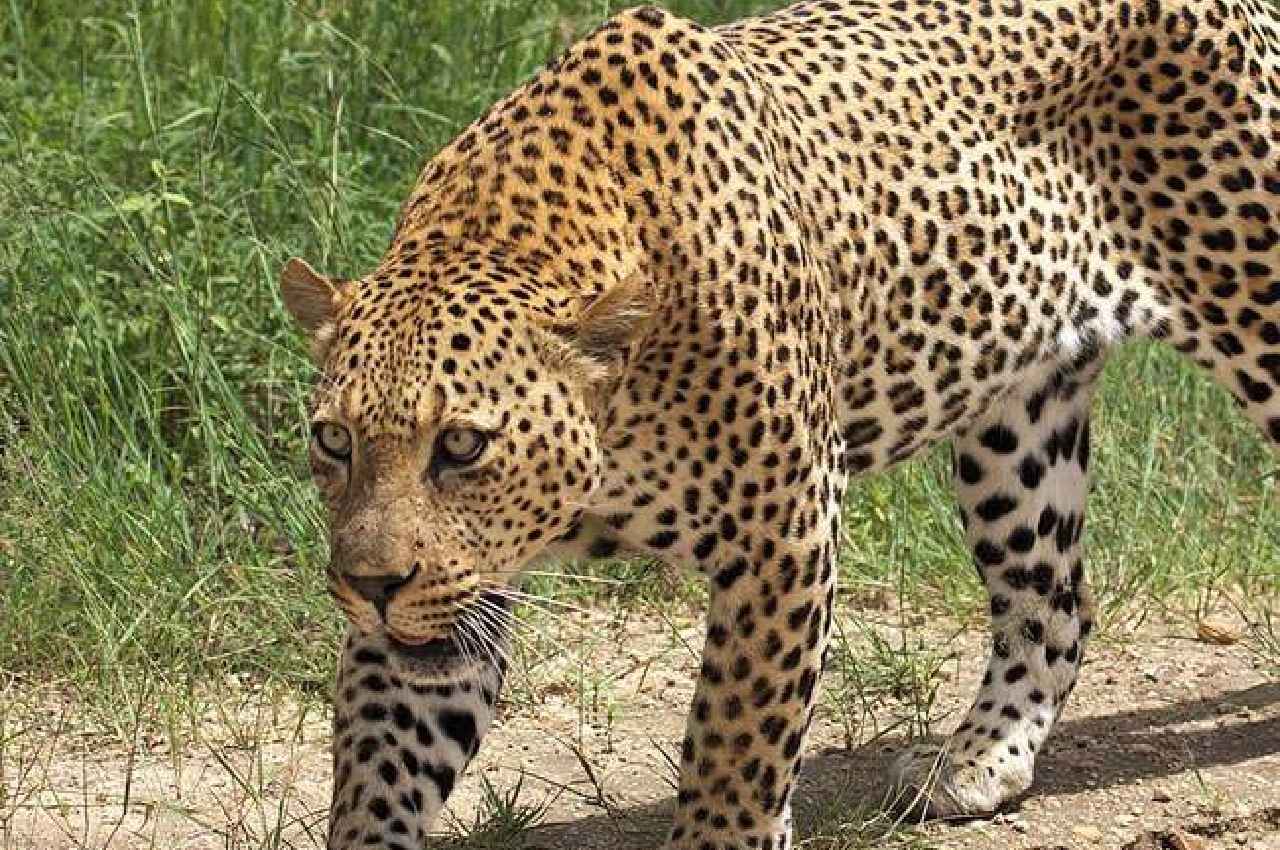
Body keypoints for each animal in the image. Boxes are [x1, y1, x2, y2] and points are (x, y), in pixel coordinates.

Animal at [277, 0, 1280, 847]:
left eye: (462, 445)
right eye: (335, 441)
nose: (368, 586)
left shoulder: (783, 531)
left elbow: (739, 742)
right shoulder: (452, 594)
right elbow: (381, 759)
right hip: (1018, 424)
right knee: (1054, 600)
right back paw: (977, 761)